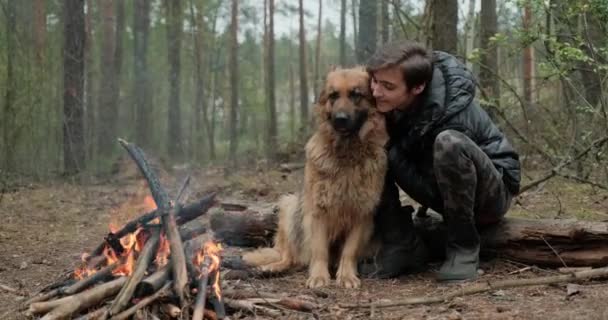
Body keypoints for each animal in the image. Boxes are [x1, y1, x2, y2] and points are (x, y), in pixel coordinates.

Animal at [242, 66, 390, 288]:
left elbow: (350, 250)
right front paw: (319, 276)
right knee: (289, 255)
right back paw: (274, 267)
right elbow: (319, 249)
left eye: (356, 94)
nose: (340, 119)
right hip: (290, 207)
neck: (346, 154)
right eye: (333, 95)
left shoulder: (362, 213)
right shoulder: (317, 211)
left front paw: (346, 276)